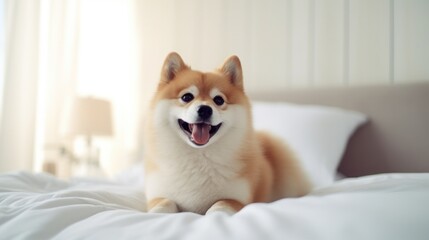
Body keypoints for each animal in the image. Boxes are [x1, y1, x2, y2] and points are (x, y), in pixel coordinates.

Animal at [144, 52, 310, 214]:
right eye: (187, 97)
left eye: (218, 100)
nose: (205, 109)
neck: (199, 156)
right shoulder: (158, 194)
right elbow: (164, 203)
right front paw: (156, 213)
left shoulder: (238, 199)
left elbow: (219, 205)